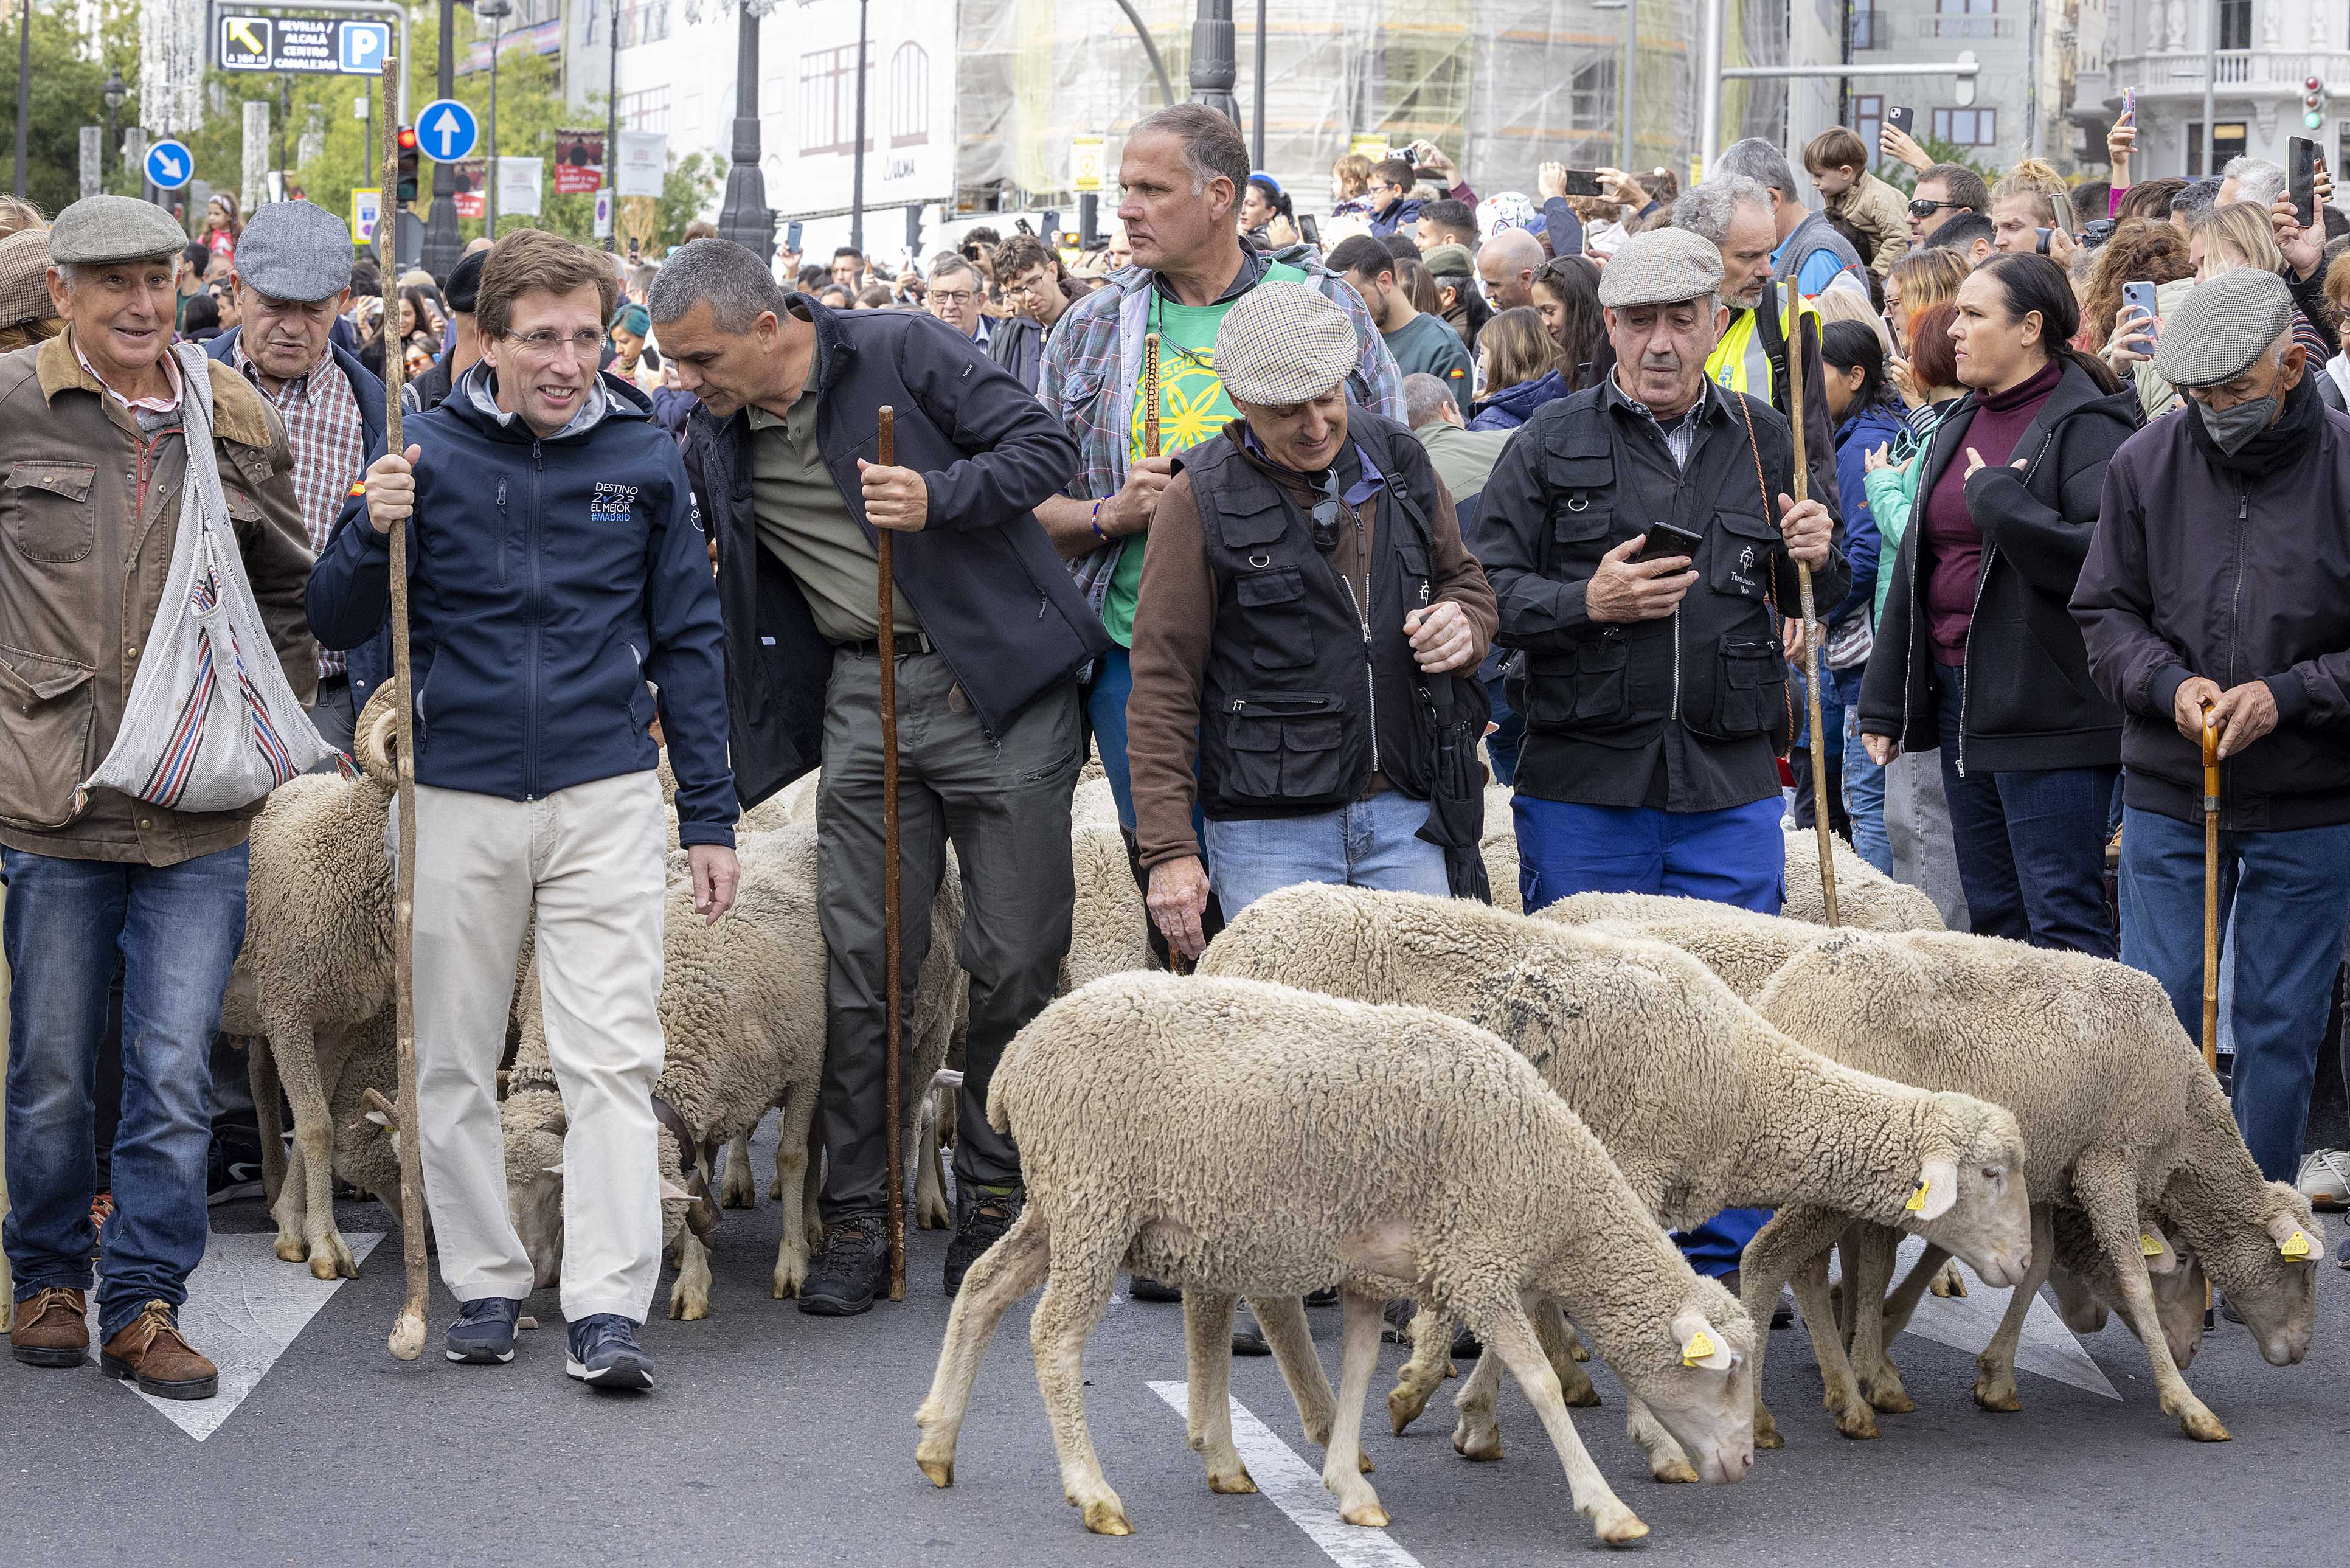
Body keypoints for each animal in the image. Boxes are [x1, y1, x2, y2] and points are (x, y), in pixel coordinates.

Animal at [503, 823, 963, 1320]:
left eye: (557, 1193)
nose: (532, 1276)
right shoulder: (705, 1097)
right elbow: (702, 1174)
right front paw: (692, 1282)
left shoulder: (805, 1070)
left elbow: (793, 1157)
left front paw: (792, 1266)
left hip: (930, 1030)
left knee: (909, 1118)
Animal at [913, 972, 1759, 1546]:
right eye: (1725, 1376)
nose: (1745, 1466)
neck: (1555, 1190)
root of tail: (1019, 1056)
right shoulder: (1476, 1263)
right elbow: (1543, 1385)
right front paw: (1609, 1510)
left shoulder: (1375, 1270)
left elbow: (1355, 1370)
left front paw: (1349, 1486)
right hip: (1093, 1200)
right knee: (1053, 1335)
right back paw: (1092, 1493)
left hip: (1062, 1204)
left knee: (984, 1289)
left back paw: (937, 1442)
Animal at [1193, 884, 2033, 1479]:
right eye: (1992, 1174)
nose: (2022, 1261)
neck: (1746, 1088)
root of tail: (1228, 940)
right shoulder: (1623, 1174)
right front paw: (1656, 1442)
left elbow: (1537, 1300)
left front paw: (1470, 1414)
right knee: (1258, 1295)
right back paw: (1303, 1427)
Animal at [1738, 928, 2323, 1444]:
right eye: (2299, 1268)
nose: (2299, 1352)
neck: (2187, 1116)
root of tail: (1778, 1000)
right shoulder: (2108, 1162)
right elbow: (2134, 1277)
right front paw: (2187, 1405)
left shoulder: (2047, 1172)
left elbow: (2036, 1260)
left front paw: (1996, 1378)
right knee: (1777, 1260)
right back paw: (1795, 1409)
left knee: (1807, 1264)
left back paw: (1845, 1391)